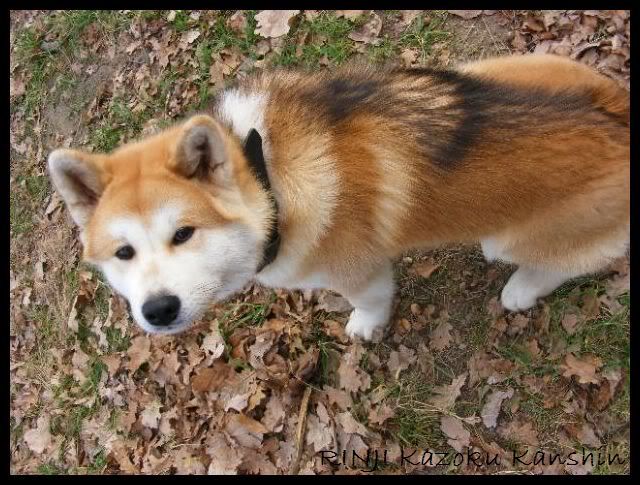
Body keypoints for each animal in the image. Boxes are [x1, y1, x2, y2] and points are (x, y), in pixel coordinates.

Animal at [48, 54, 629, 340]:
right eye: (124, 253)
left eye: (184, 233)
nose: (158, 310)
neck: (269, 175)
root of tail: (617, 120)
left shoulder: (361, 269)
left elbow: (369, 301)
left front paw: (365, 328)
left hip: (516, 239)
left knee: (560, 263)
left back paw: (521, 290)